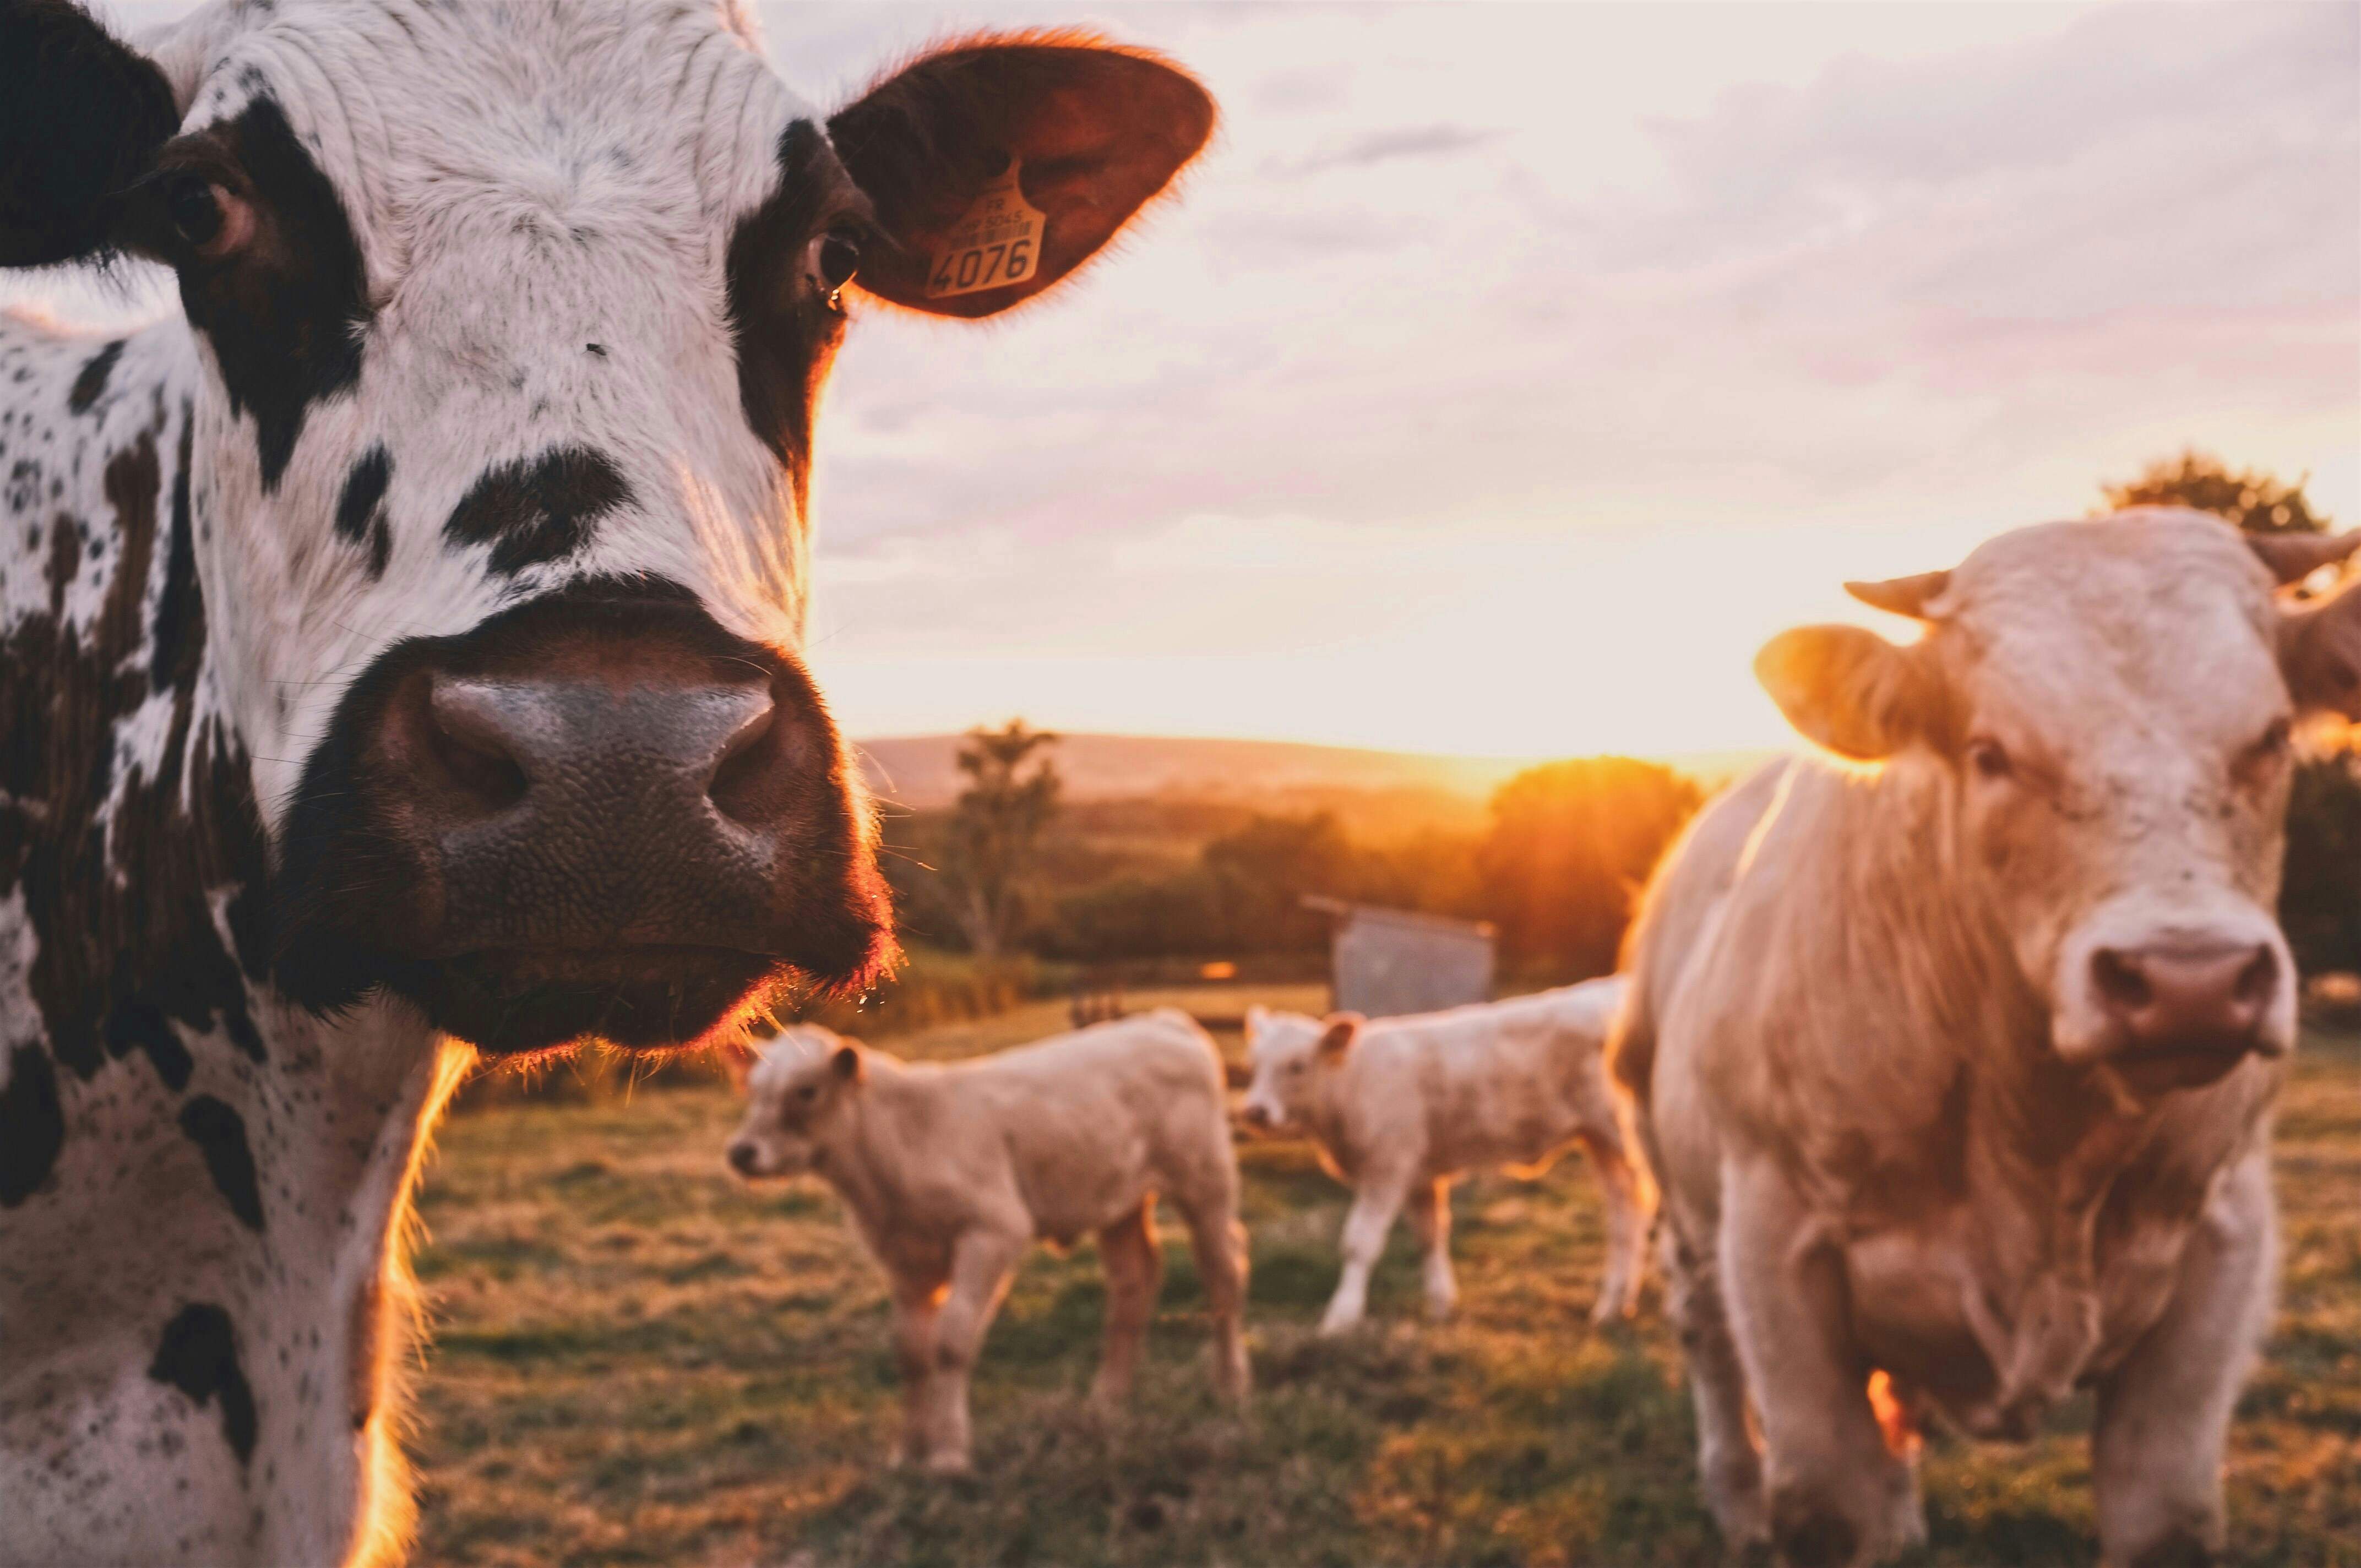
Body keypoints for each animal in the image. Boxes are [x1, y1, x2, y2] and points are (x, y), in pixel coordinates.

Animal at [722, 1010, 1256, 1473]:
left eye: (806, 1091)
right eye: (752, 1089)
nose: (742, 1152)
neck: (896, 1147)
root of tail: (1163, 1021)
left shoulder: (994, 1230)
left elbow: (951, 1341)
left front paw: (949, 1454)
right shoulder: (903, 1257)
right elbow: (911, 1351)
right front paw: (907, 1452)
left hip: (1206, 1182)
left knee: (1223, 1273)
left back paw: (1231, 1385)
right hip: (1118, 1200)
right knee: (1133, 1281)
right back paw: (1108, 1398)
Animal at [1247, 982, 1652, 1332]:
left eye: (1297, 1066)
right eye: (1254, 1065)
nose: (1255, 1111)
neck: (1352, 1082)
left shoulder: (1387, 1167)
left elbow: (1359, 1243)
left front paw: (1341, 1316)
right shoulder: (1420, 1175)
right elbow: (1430, 1236)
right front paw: (1440, 1304)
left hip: (1624, 1135)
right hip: (1599, 1141)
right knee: (1625, 1211)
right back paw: (1615, 1306)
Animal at [1614, 508, 2361, 1558]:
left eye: (2270, 737)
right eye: (1989, 751)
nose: (2191, 981)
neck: (2039, 1145)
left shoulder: (2222, 1242)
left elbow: (2164, 1507)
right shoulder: (1774, 1247)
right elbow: (1828, 1502)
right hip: (1677, 1193)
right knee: (1706, 1341)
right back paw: (1736, 1497)